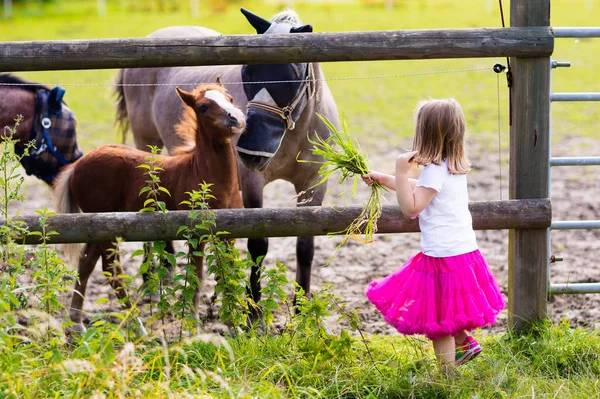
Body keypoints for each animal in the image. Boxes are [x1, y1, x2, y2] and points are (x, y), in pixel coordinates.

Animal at [115, 8, 340, 310]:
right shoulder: (252, 182)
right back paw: (156, 279)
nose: (252, 150)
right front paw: (253, 310)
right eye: (247, 71)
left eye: (290, 77)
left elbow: (305, 246)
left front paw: (301, 308)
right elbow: (258, 244)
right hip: (147, 144)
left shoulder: (313, 184)